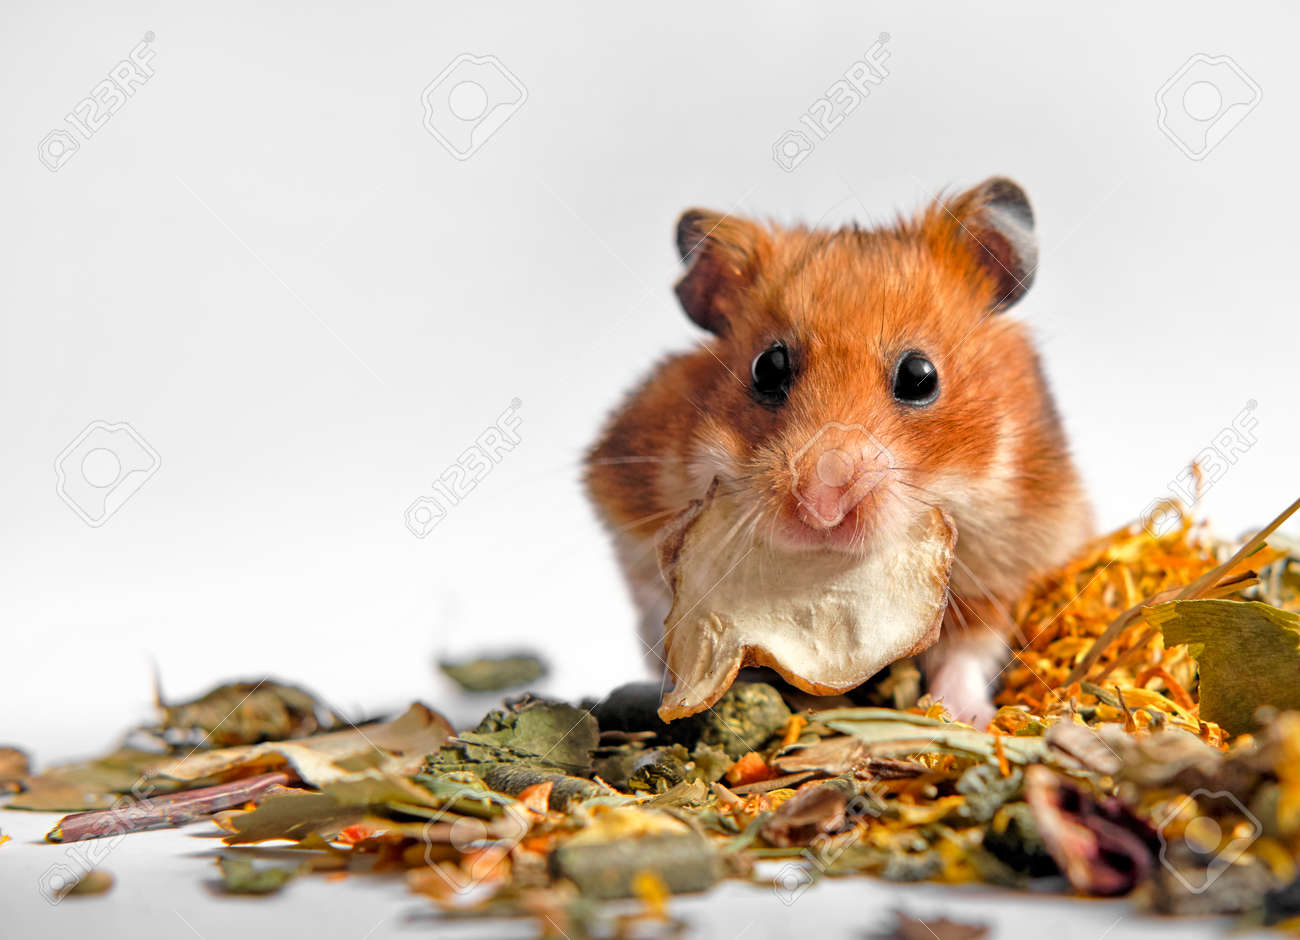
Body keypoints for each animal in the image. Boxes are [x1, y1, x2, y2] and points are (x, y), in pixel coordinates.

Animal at [584, 177, 1093, 726]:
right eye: (767, 368)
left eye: (920, 376)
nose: (821, 508)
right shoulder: (629, 516)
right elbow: (659, 600)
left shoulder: (1015, 550)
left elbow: (970, 646)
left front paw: (958, 715)